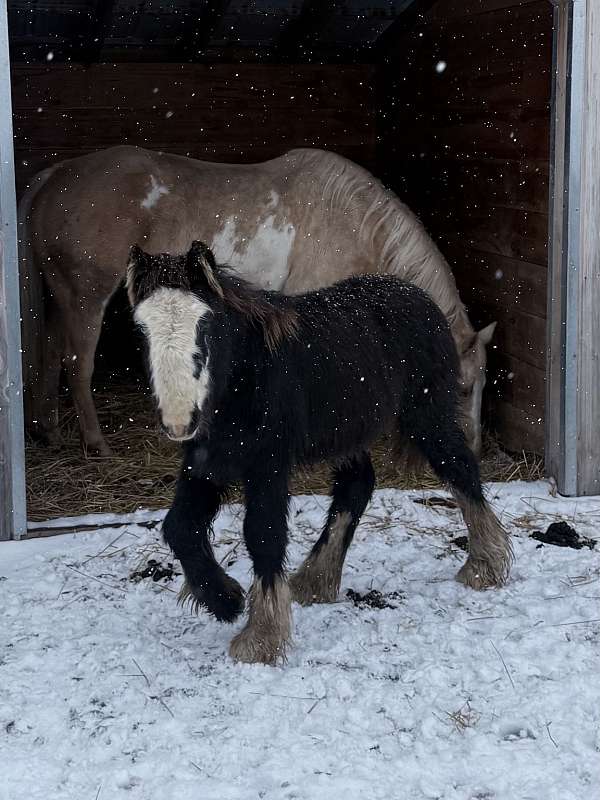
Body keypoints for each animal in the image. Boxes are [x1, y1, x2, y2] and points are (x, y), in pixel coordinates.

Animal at [19, 145, 496, 457]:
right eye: (463, 387)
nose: (475, 451)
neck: (355, 221)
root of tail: (54, 176)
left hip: (61, 299)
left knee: (49, 353)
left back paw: (51, 432)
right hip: (85, 299)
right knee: (76, 365)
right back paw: (96, 445)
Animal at [126, 240, 512, 665]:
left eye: (206, 326)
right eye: (141, 330)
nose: (179, 422)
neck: (244, 377)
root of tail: (421, 298)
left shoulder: (267, 464)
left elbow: (263, 533)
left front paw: (261, 637)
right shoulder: (207, 462)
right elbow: (179, 527)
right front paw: (225, 601)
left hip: (428, 417)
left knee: (460, 469)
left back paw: (485, 565)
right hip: (349, 435)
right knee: (357, 485)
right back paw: (315, 580)